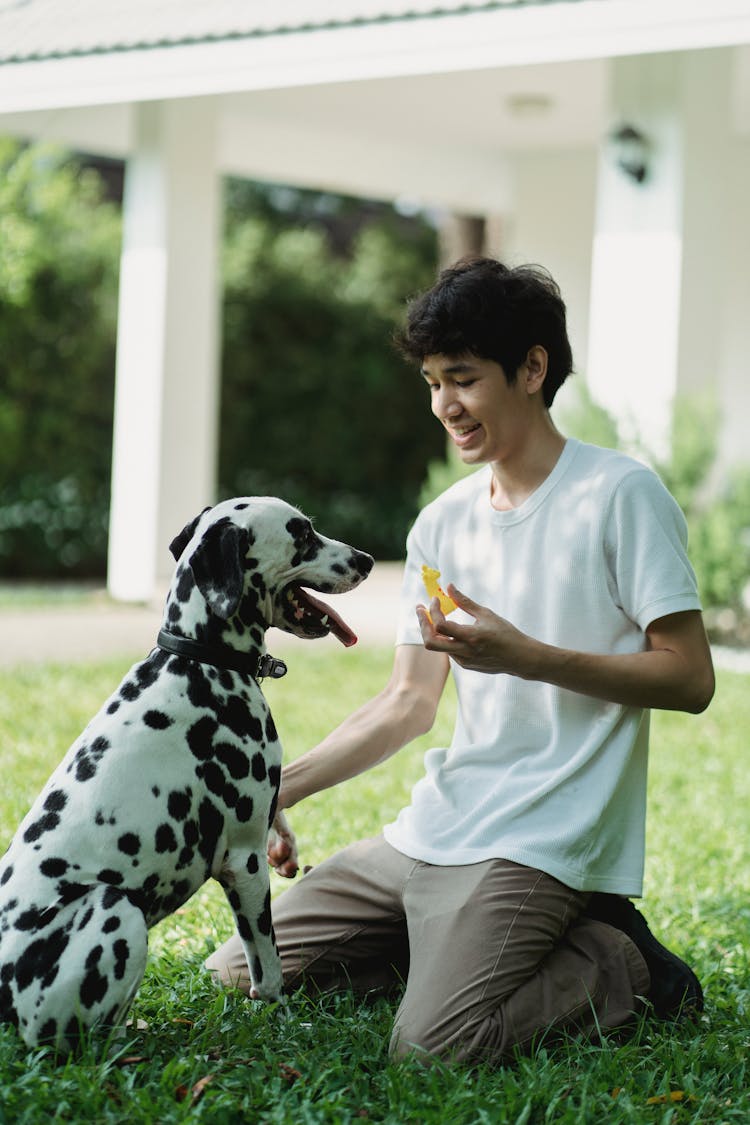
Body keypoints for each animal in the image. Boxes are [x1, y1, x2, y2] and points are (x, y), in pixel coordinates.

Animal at [0, 497, 373, 1048]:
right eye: (302, 533)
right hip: (115, 906)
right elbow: (268, 968)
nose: (366, 560)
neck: (201, 662)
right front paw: (284, 1021)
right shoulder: (244, 863)